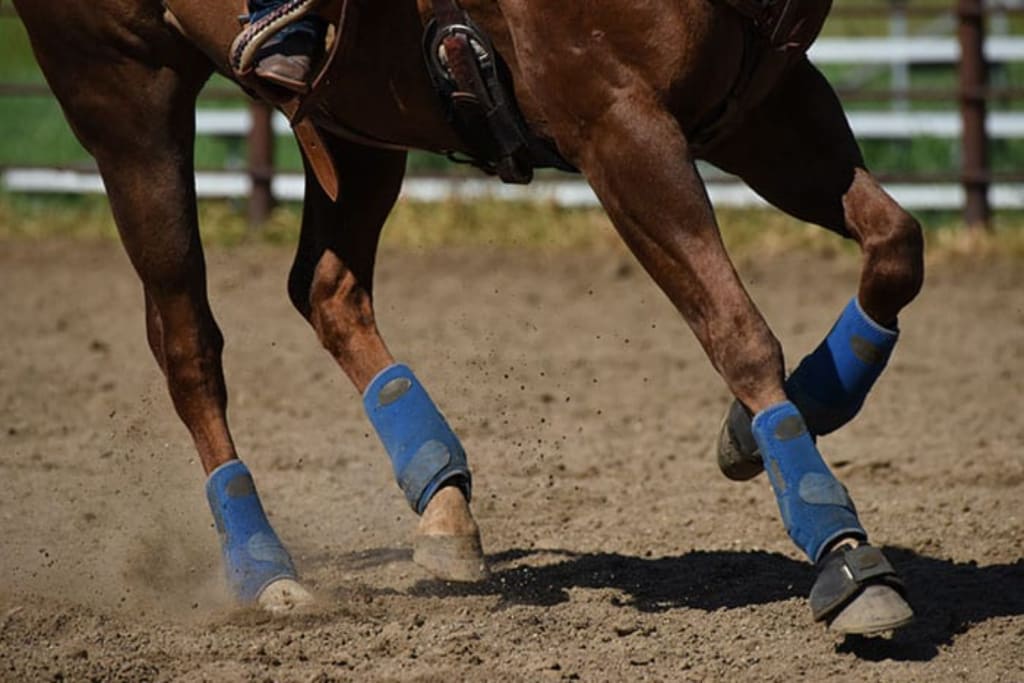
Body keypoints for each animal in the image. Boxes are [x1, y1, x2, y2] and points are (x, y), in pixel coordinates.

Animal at [12, 0, 924, 635]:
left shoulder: (767, 102)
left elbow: (895, 247)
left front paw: (783, 415)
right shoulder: (619, 124)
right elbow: (738, 332)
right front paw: (843, 554)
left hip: (353, 117)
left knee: (328, 289)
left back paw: (441, 498)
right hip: (128, 104)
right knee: (188, 343)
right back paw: (261, 566)